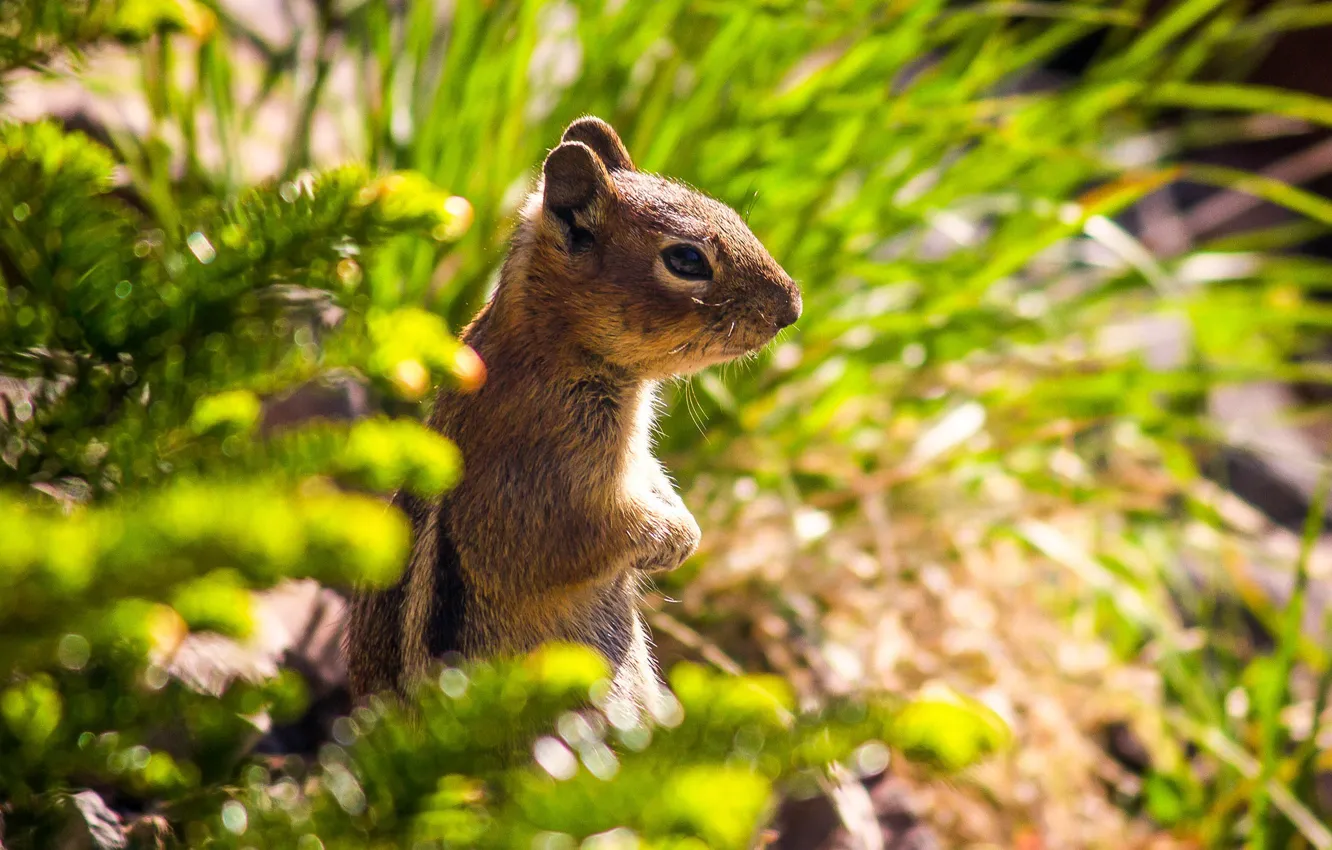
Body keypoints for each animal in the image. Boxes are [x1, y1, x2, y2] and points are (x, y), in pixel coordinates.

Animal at [345, 117, 801, 713]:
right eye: (686, 260)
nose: (793, 307)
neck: (552, 343)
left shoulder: (635, 459)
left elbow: (652, 478)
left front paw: (685, 525)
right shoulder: (547, 478)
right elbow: (576, 537)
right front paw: (676, 540)